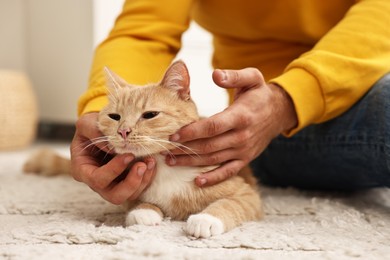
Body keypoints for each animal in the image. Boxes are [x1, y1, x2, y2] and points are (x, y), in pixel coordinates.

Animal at [23, 60, 262, 238]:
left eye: (150, 115)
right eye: (115, 116)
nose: (123, 131)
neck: (164, 167)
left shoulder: (245, 193)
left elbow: (228, 204)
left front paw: (205, 219)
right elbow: (137, 203)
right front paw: (144, 211)